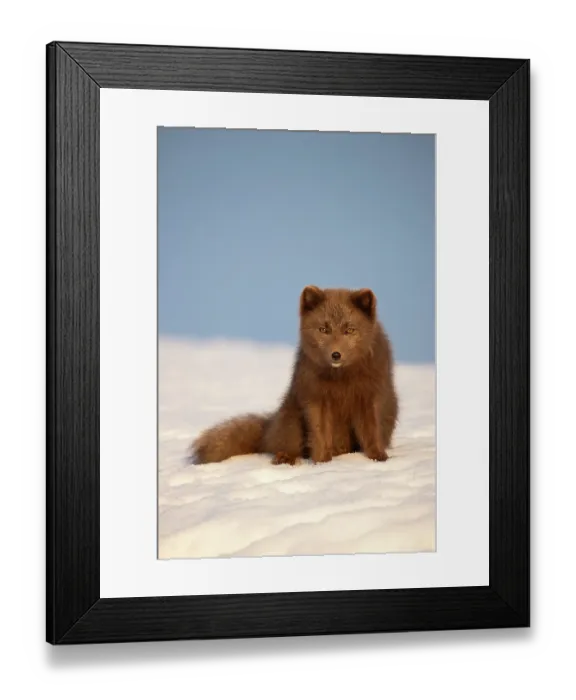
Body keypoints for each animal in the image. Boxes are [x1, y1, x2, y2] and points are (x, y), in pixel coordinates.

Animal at [190, 285, 399, 466]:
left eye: (349, 330)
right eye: (324, 329)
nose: (336, 354)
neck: (342, 379)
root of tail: (270, 429)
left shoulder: (369, 397)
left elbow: (372, 431)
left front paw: (378, 457)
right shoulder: (316, 399)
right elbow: (320, 435)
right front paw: (322, 463)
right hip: (292, 417)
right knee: (288, 446)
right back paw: (285, 458)